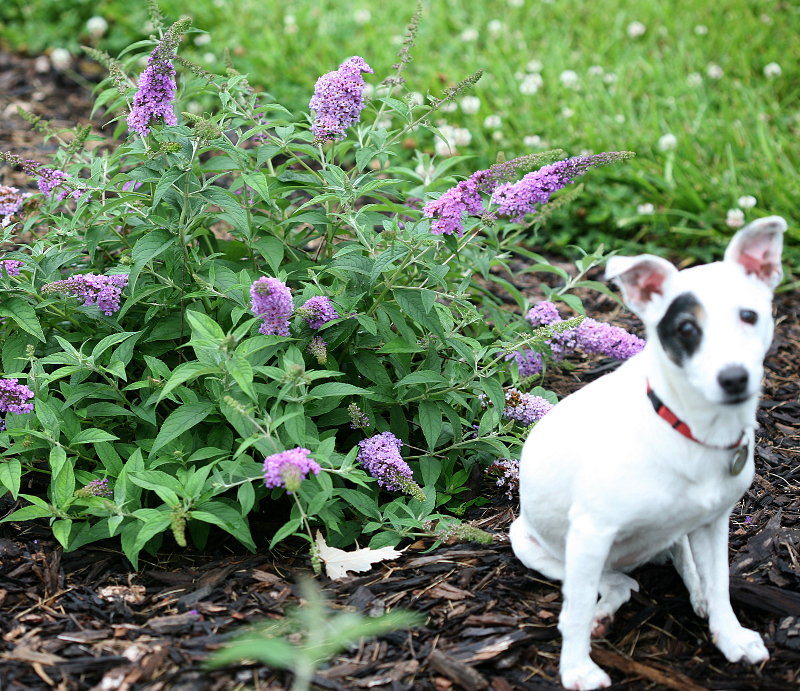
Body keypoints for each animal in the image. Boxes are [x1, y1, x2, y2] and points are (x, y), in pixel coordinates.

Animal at [510, 218, 784, 691]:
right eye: (686, 329)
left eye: (749, 316)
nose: (734, 378)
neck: (692, 431)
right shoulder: (590, 533)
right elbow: (575, 611)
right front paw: (577, 668)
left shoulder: (713, 523)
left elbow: (719, 583)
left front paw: (730, 636)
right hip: (538, 545)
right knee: (614, 586)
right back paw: (603, 612)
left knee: (671, 566)